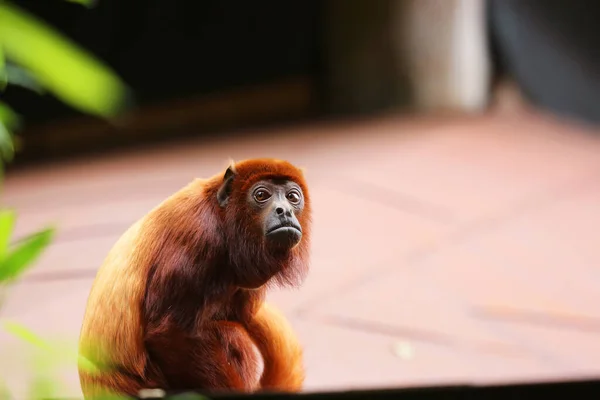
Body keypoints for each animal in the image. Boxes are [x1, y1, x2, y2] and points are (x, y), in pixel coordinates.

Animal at [78, 158, 312, 398]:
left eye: (293, 197)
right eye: (262, 195)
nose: (285, 211)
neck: (221, 216)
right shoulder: (197, 238)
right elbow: (169, 334)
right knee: (230, 334)